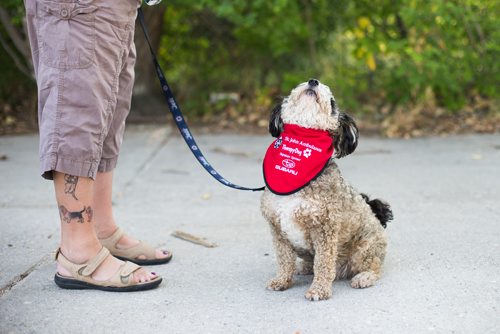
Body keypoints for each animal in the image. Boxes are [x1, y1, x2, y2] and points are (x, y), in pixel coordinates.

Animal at [260, 79, 392, 302]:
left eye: (332, 102)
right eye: (299, 85)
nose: (313, 81)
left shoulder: (324, 227)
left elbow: (323, 262)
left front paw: (319, 290)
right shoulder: (277, 228)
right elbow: (284, 260)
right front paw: (282, 281)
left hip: (364, 248)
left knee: (374, 267)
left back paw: (364, 277)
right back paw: (304, 267)